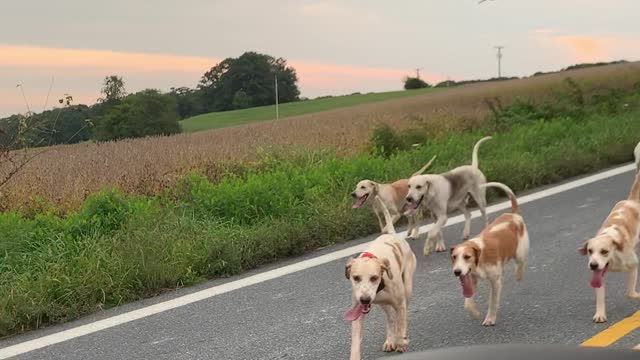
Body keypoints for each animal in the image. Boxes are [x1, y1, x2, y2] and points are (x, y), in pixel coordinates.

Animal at [342, 197, 418, 360]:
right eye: (355, 278)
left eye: (374, 277)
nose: (364, 299)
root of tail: (391, 233)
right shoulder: (357, 313)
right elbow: (355, 341)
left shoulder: (400, 303)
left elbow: (401, 323)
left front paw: (401, 341)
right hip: (383, 304)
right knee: (390, 318)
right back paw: (390, 339)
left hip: (407, 287)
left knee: (400, 316)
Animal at [448, 183, 528, 326]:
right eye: (454, 257)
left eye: (467, 257)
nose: (457, 272)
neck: (480, 257)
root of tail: (513, 214)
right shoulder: (472, 279)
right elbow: (467, 302)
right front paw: (475, 312)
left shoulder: (495, 281)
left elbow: (492, 301)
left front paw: (490, 318)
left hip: (519, 251)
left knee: (521, 262)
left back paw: (518, 275)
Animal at [576, 172, 640, 324]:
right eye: (590, 251)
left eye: (604, 251)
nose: (593, 265)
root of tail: (631, 201)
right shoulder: (598, 276)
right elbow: (600, 296)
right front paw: (600, 314)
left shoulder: (634, 264)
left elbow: (630, 292)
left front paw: (635, 295)